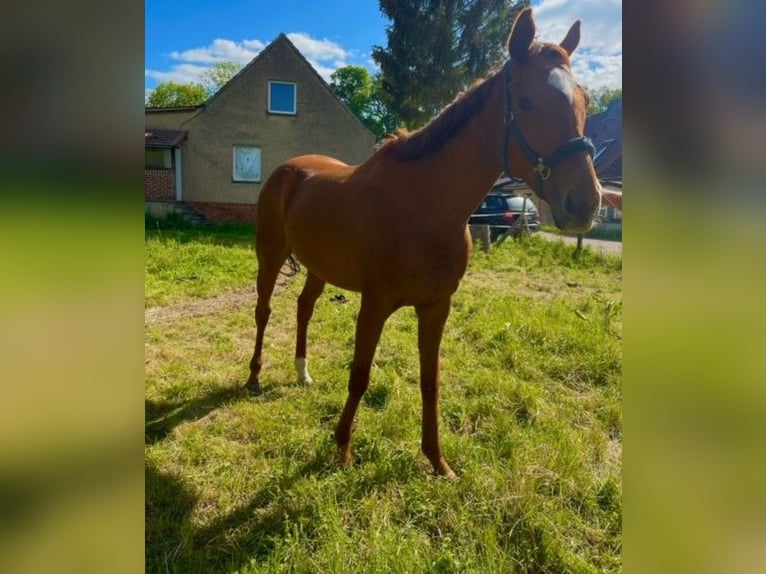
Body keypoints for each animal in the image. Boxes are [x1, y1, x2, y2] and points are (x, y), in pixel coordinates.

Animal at [249, 7, 604, 482]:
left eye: (584, 102)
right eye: (526, 102)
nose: (584, 203)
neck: (425, 206)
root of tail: (288, 169)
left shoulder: (437, 305)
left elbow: (430, 380)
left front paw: (437, 461)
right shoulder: (375, 303)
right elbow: (360, 374)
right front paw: (343, 449)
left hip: (319, 267)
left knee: (304, 307)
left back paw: (302, 373)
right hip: (269, 257)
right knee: (264, 311)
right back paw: (253, 377)